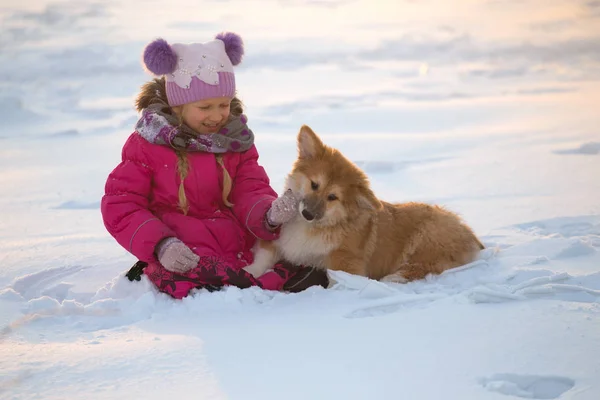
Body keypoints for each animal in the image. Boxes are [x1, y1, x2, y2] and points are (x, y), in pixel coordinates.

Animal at [244, 125, 482, 282]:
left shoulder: (345, 260)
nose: (307, 214)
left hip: (426, 240)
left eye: (333, 197)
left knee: (420, 267)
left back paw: (391, 279)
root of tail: (470, 234)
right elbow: (262, 259)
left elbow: (339, 278)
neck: (314, 227)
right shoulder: (279, 241)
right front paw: (248, 273)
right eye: (314, 184)